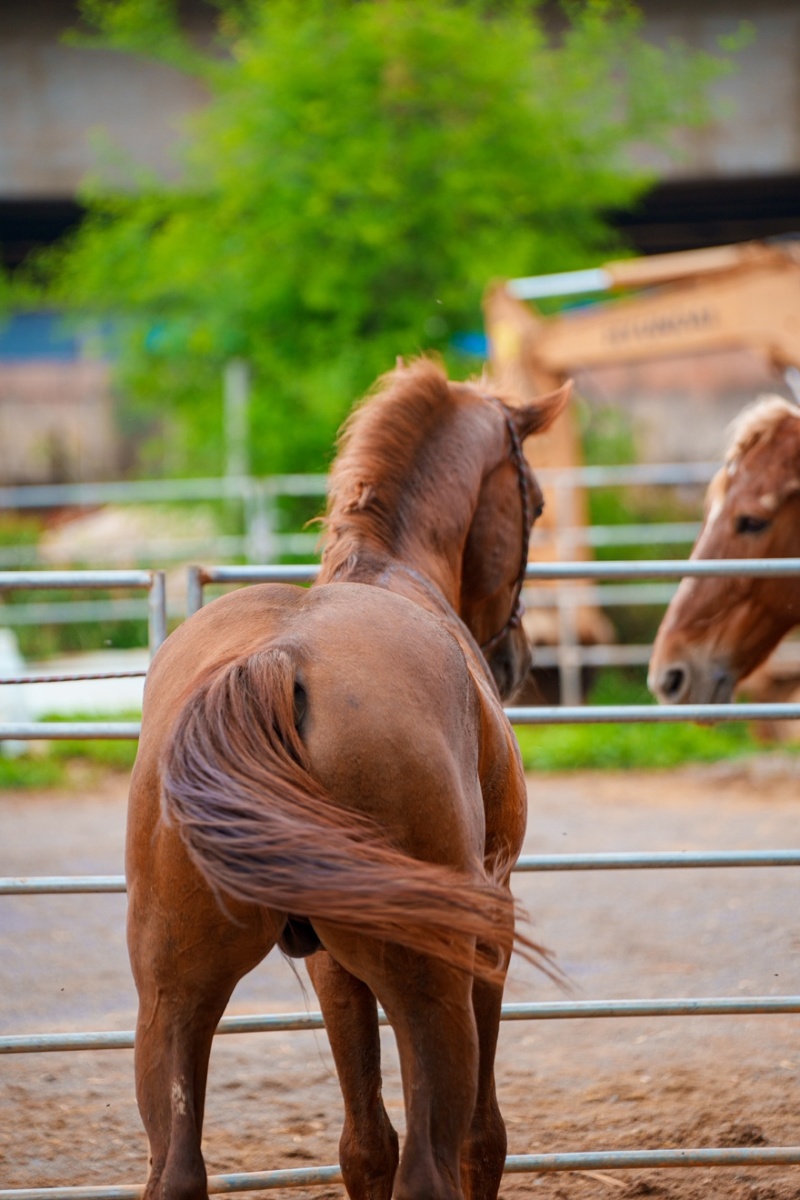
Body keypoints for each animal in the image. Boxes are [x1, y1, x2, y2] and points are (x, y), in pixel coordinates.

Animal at [126, 358, 570, 1200]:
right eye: (533, 500)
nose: (516, 657)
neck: (393, 569)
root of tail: (277, 660)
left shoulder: (329, 962)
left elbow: (364, 1145)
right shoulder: (490, 922)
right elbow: (481, 1138)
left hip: (172, 996)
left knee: (179, 1169)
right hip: (430, 986)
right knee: (434, 1160)